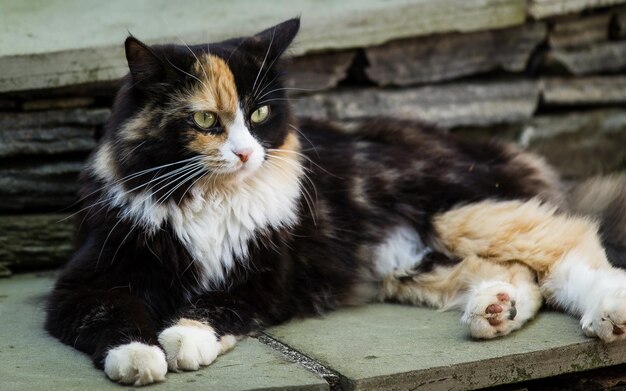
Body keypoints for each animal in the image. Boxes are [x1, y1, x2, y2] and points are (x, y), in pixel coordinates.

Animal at [46, 17, 624, 386]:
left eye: (259, 115)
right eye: (206, 120)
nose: (245, 153)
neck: (211, 199)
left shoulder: (261, 280)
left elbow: (212, 309)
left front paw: (182, 342)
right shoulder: (89, 279)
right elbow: (113, 315)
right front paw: (141, 358)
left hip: (459, 215)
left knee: (575, 248)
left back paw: (608, 316)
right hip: (413, 264)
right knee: (523, 275)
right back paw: (495, 312)